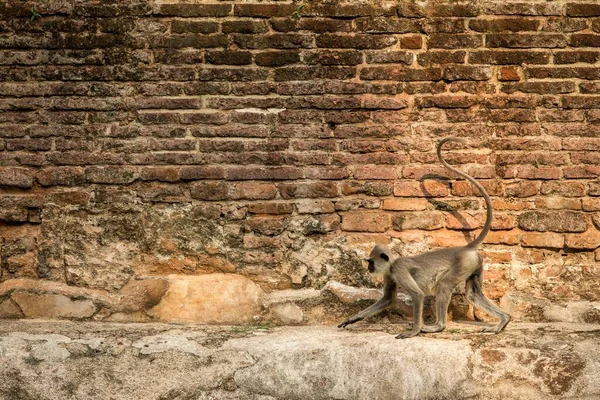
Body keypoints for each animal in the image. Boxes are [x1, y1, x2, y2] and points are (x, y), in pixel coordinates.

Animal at [338, 138, 510, 338]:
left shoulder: (398, 269)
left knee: (444, 285)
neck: (392, 263)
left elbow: (418, 295)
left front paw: (414, 331)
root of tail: (466, 248)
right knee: (473, 295)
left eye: (371, 262)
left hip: (463, 264)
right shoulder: (389, 273)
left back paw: (437, 326)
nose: (369, 268)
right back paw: (504, 320)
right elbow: (387, 299)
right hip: (474, 264)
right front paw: (353, 318)